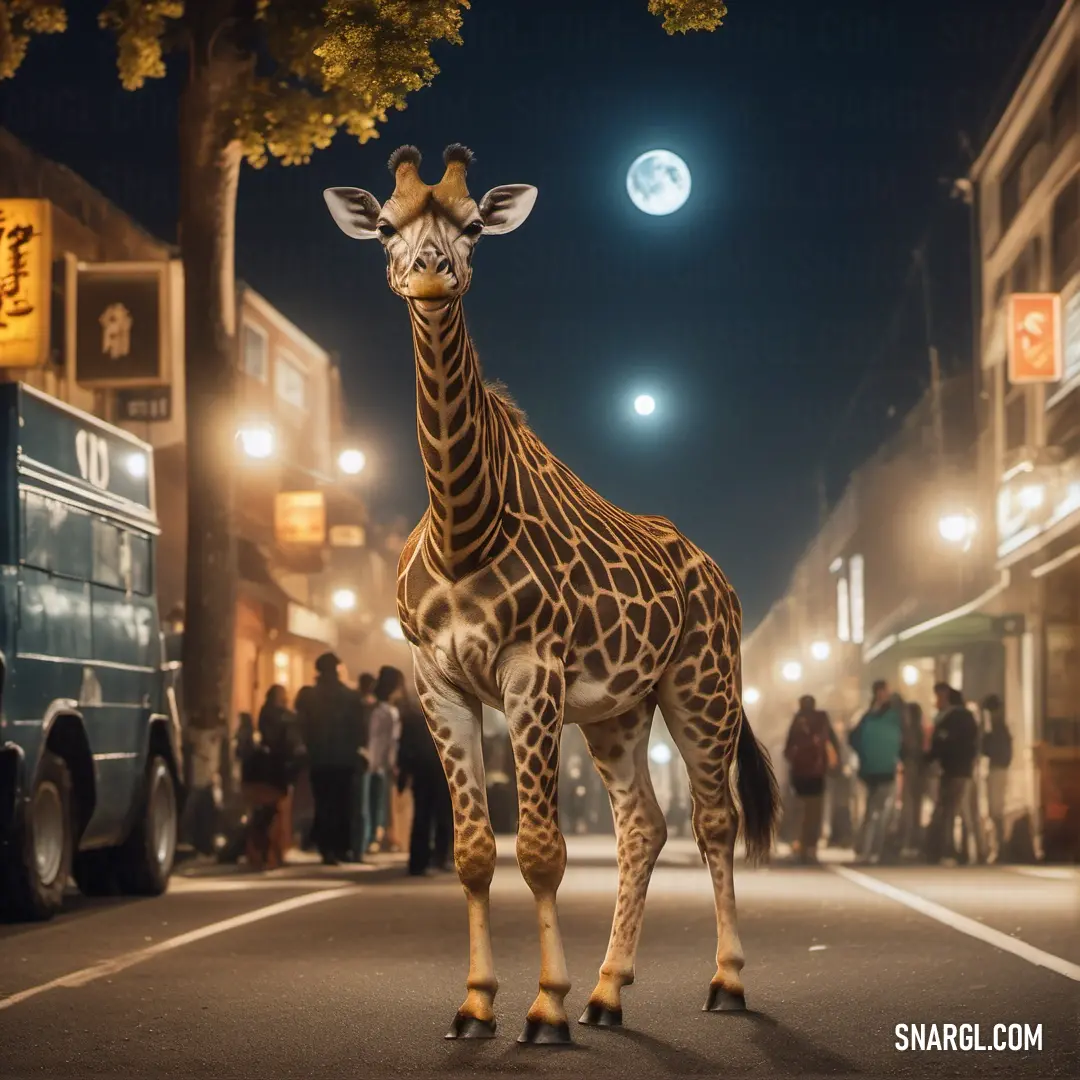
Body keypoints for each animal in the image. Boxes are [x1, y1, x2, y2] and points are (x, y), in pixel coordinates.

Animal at [324, 145, 781, 1045]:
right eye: (386, 227)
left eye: (473, 227)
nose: (430, 274)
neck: (462, 523)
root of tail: (720, 578)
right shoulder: (436, 680)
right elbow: (474, 853)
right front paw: (475, 1005)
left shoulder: (530, 670)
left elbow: (540, 851)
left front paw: (544, 1009)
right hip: (617, 711)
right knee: (644, 825)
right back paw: (609, 992)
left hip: (702, 687)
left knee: (715, 822)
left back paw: (725, 981)